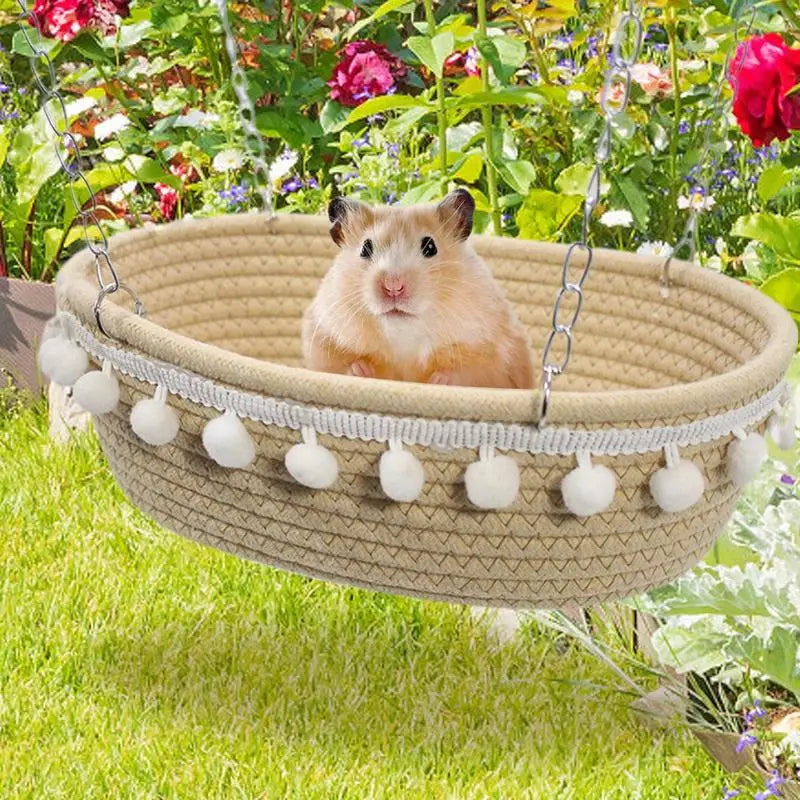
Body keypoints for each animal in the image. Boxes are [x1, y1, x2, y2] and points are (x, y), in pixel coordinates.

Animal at [301, 188, 534, 389]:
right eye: (365, 248)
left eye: (430, 246)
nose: (393, 287)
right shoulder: (322, 338)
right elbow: (341, 366)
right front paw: (362, 370)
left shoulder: (491, 354)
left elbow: (469, 374)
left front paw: (438, 380)